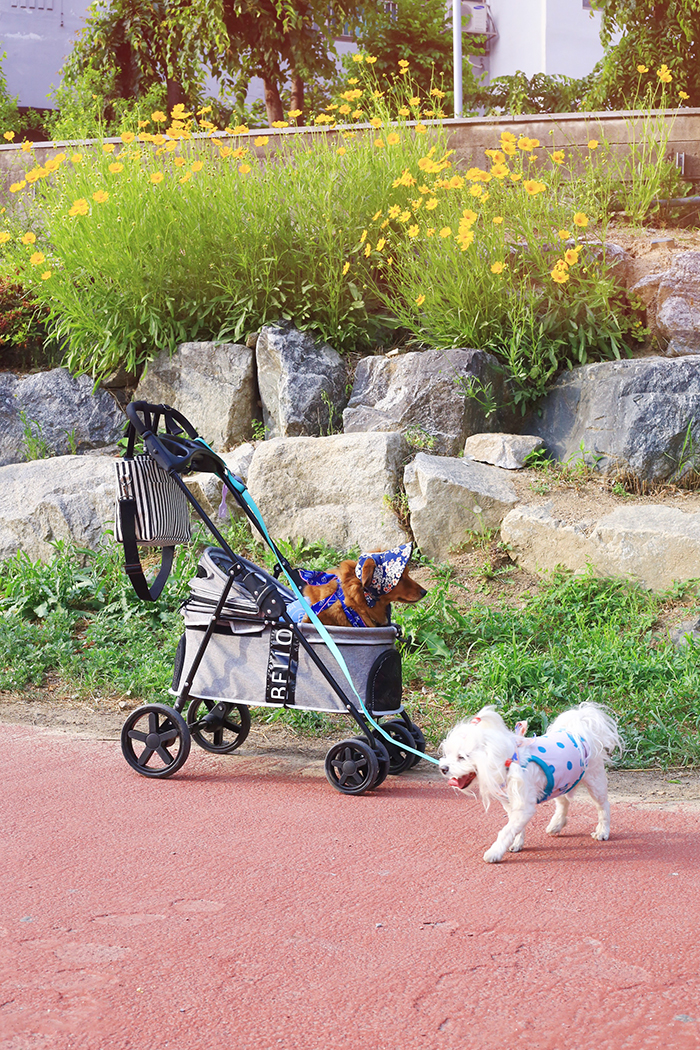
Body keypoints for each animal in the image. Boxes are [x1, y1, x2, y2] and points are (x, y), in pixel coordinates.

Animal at [440, 701, 621, 865]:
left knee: (603, 806)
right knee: (563, 803)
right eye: (447, 754)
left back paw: (602, 831)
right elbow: (515, 827)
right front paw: (516, 843)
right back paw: (557, 824)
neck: (509, 761)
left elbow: (506, 831)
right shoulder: (511, 804)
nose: (442, 768)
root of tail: (579, 731)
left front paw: (495, 852)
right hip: (559, 782)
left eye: (462, 757)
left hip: (594, 780)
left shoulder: (523, 806)